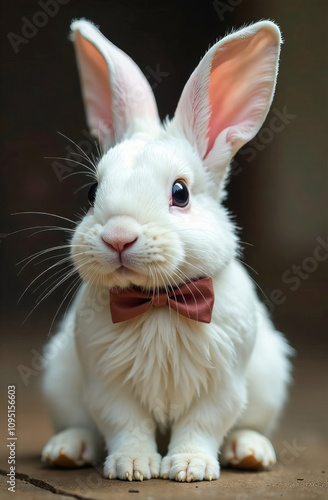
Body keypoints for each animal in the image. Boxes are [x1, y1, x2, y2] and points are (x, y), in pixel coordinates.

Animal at [41, 18, 292, 480]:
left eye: (180, 193)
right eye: (92, 192)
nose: (118, 236)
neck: (157, 302)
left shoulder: (222, 385)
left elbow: (203, 424)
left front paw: (190, 468)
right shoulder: (108, 384)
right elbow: (125, 424)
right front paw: (132, 466)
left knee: (246, 427)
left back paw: (251, 453)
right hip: (60, 379)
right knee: (80, 425)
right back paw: (66, 450)